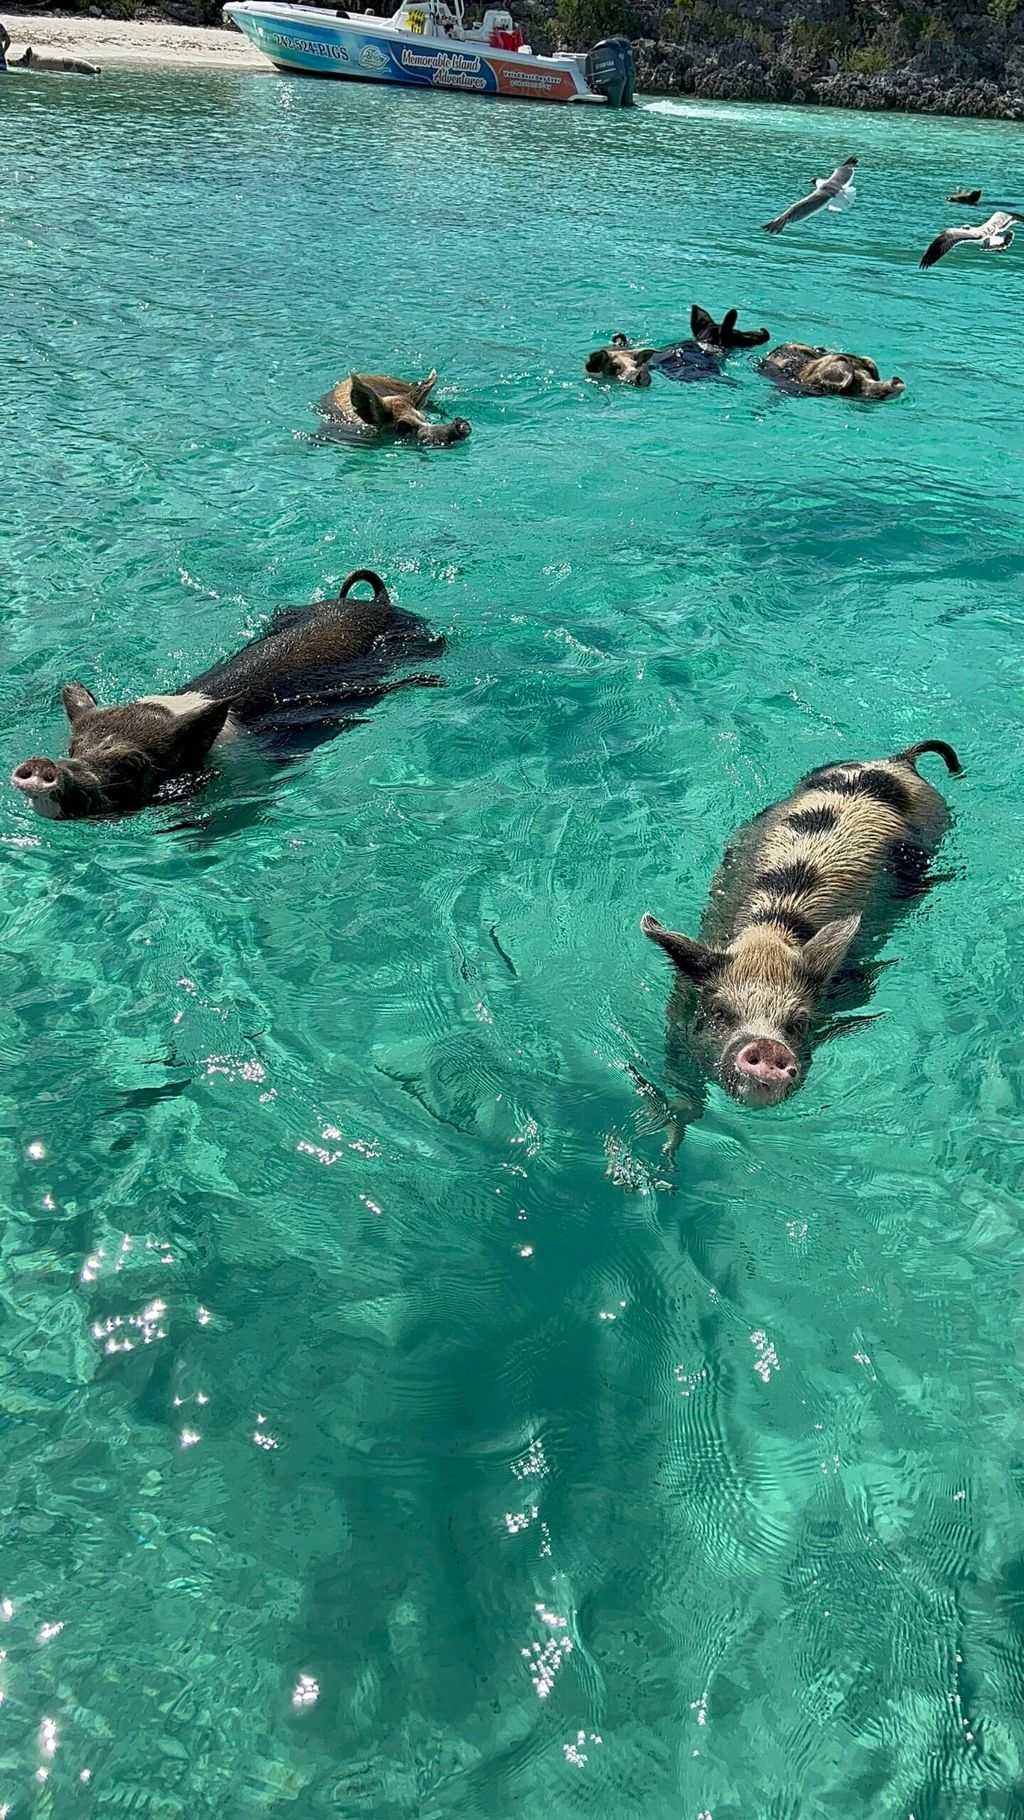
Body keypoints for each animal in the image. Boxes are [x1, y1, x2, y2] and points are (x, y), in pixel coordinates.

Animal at [641, 740, 962, 1145]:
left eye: (798, 1023)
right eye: (718, 1012)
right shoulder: (680, 1008)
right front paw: (668, 1150)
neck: (769, 936)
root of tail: (898, 761)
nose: (767, 1045)